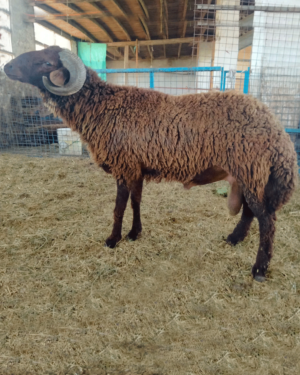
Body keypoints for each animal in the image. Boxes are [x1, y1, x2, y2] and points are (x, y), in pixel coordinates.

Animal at [4, 46, 298, 282]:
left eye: (46, 63)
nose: (6, 67)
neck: (102, 107)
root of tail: (277, 130)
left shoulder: (123, 166)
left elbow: (118, 208)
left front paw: (113, 240)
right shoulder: (136, 168)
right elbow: (136, 202)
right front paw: (135, 233)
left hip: (250, 169)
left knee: (267, 220)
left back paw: (259, 270)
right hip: (247, 174)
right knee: (250, 212)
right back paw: (234, 239)